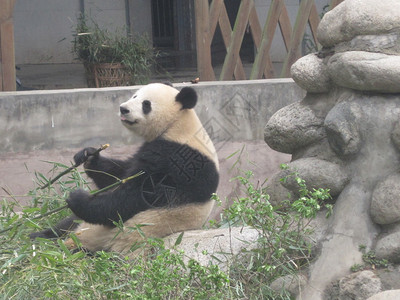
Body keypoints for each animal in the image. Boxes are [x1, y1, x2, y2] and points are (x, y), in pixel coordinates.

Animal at [30, 82, 219, 255]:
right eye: (134, 95)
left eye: (146, 104)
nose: (123, 109)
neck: (177, 125)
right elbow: (119, 174)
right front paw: (88, 156)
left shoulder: (178, 162)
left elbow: (132, 198)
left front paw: (78, 197)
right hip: (81, 227)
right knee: (66, 225)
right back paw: (38, 236)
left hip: (116, 242)